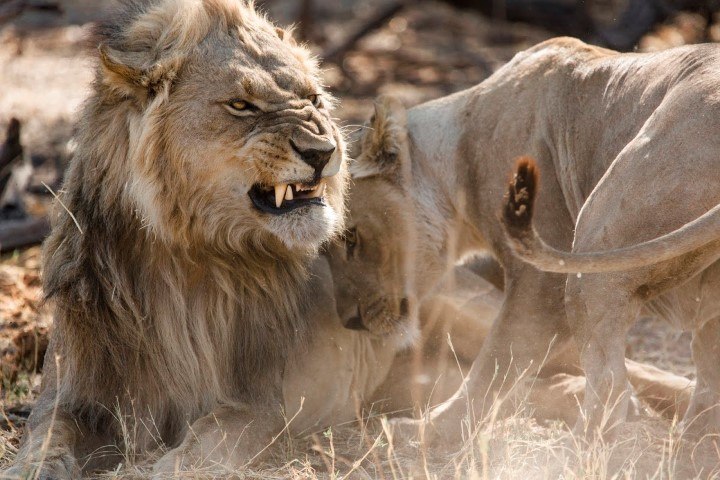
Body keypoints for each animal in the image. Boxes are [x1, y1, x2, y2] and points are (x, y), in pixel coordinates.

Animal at [1, 0, 348, 476]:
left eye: (314, 100)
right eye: (241, 105)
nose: (323, 151)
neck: (184, 257)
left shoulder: (270, 402)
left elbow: (214, 432)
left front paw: (172, 467)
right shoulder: (72, 392)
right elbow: (47, 436)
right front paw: (27, 468)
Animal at [330, 35, 712, 444]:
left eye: (351, 238)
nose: (350, 321)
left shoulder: (542, 280)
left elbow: (496, 362)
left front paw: (426, 433)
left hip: (596, 245)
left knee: (611, 383)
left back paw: (571, 450)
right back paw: (690, 446)